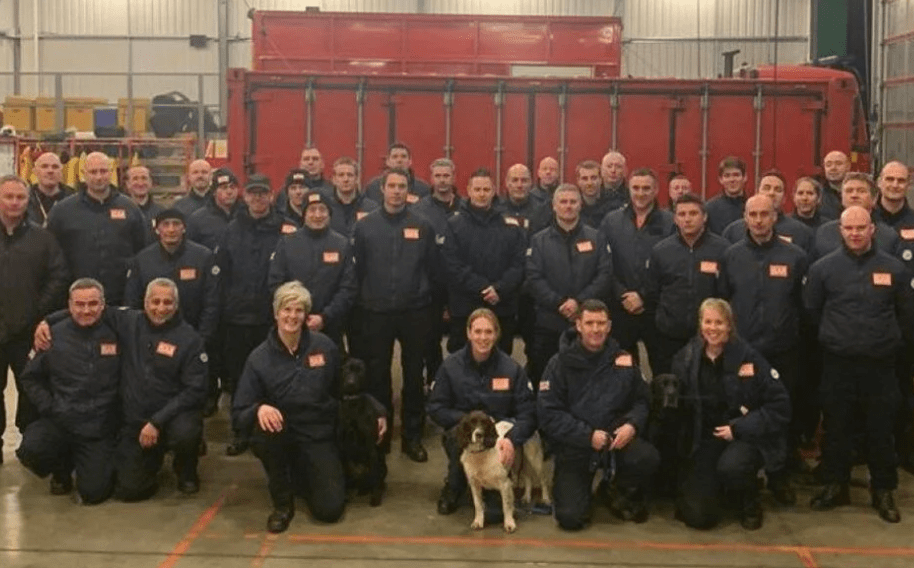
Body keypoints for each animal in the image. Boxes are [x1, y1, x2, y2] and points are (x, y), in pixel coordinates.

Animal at [337, 358, 386, 506]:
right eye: (347, 370)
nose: (351, 383)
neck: (352, 404)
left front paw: (375, 497)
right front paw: (345, 495)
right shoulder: (342, 446)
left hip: (381, 464)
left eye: (360, 371)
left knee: (376, 478)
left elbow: (375, 476)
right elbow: (344, 474)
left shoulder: (371, 447)